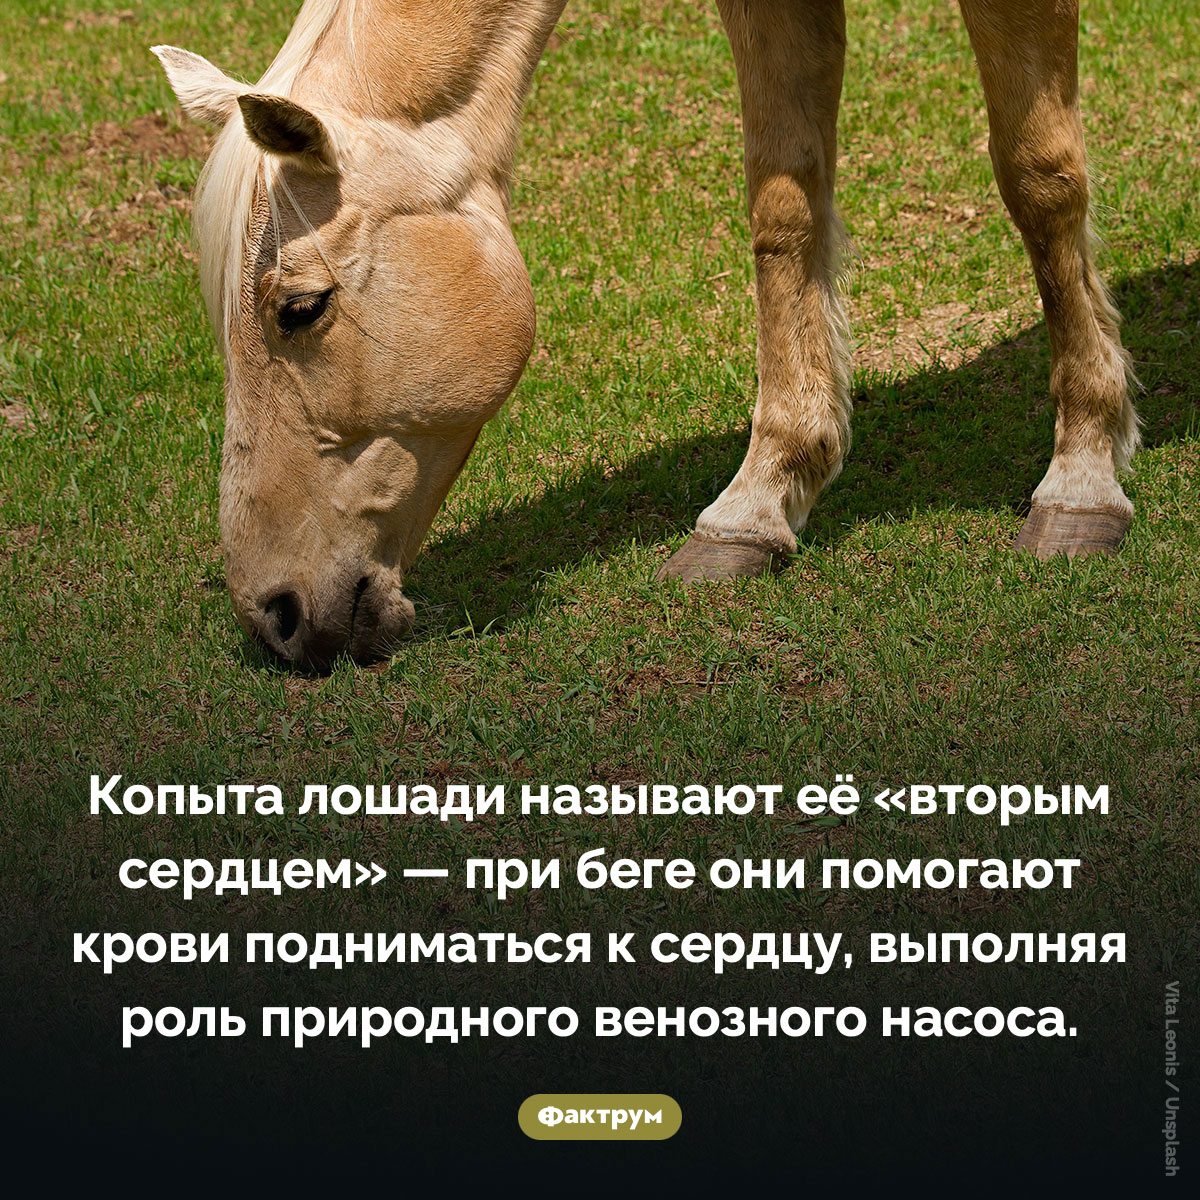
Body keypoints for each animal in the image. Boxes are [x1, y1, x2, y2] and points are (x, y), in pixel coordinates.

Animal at [154, 0, 1140, 669]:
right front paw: (760, 499)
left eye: (301, 308)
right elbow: (784, 205)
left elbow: (1039, 176)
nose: (272, 615)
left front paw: (1083, 474)